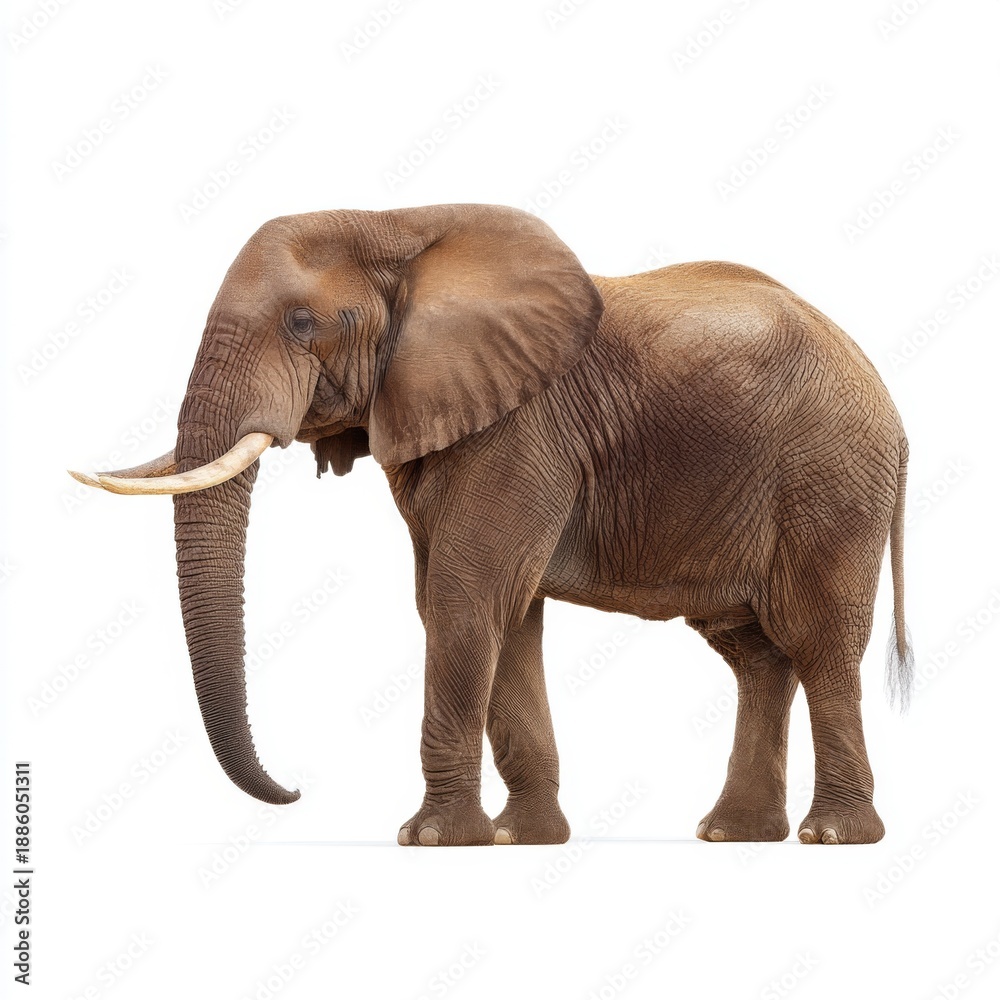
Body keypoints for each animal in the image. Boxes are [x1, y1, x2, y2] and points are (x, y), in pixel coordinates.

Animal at [70, 203, 911, 847]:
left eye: (303, 322)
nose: (296, 791)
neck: (395, 225)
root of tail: (891, 404)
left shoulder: (521, 429)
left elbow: (463, 600)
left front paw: (432, 839)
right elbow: (499, 611)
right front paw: (519, 839)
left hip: (831, 480)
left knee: (819, 641)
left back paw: (831, 836)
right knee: (754, 654)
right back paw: (733, 834)